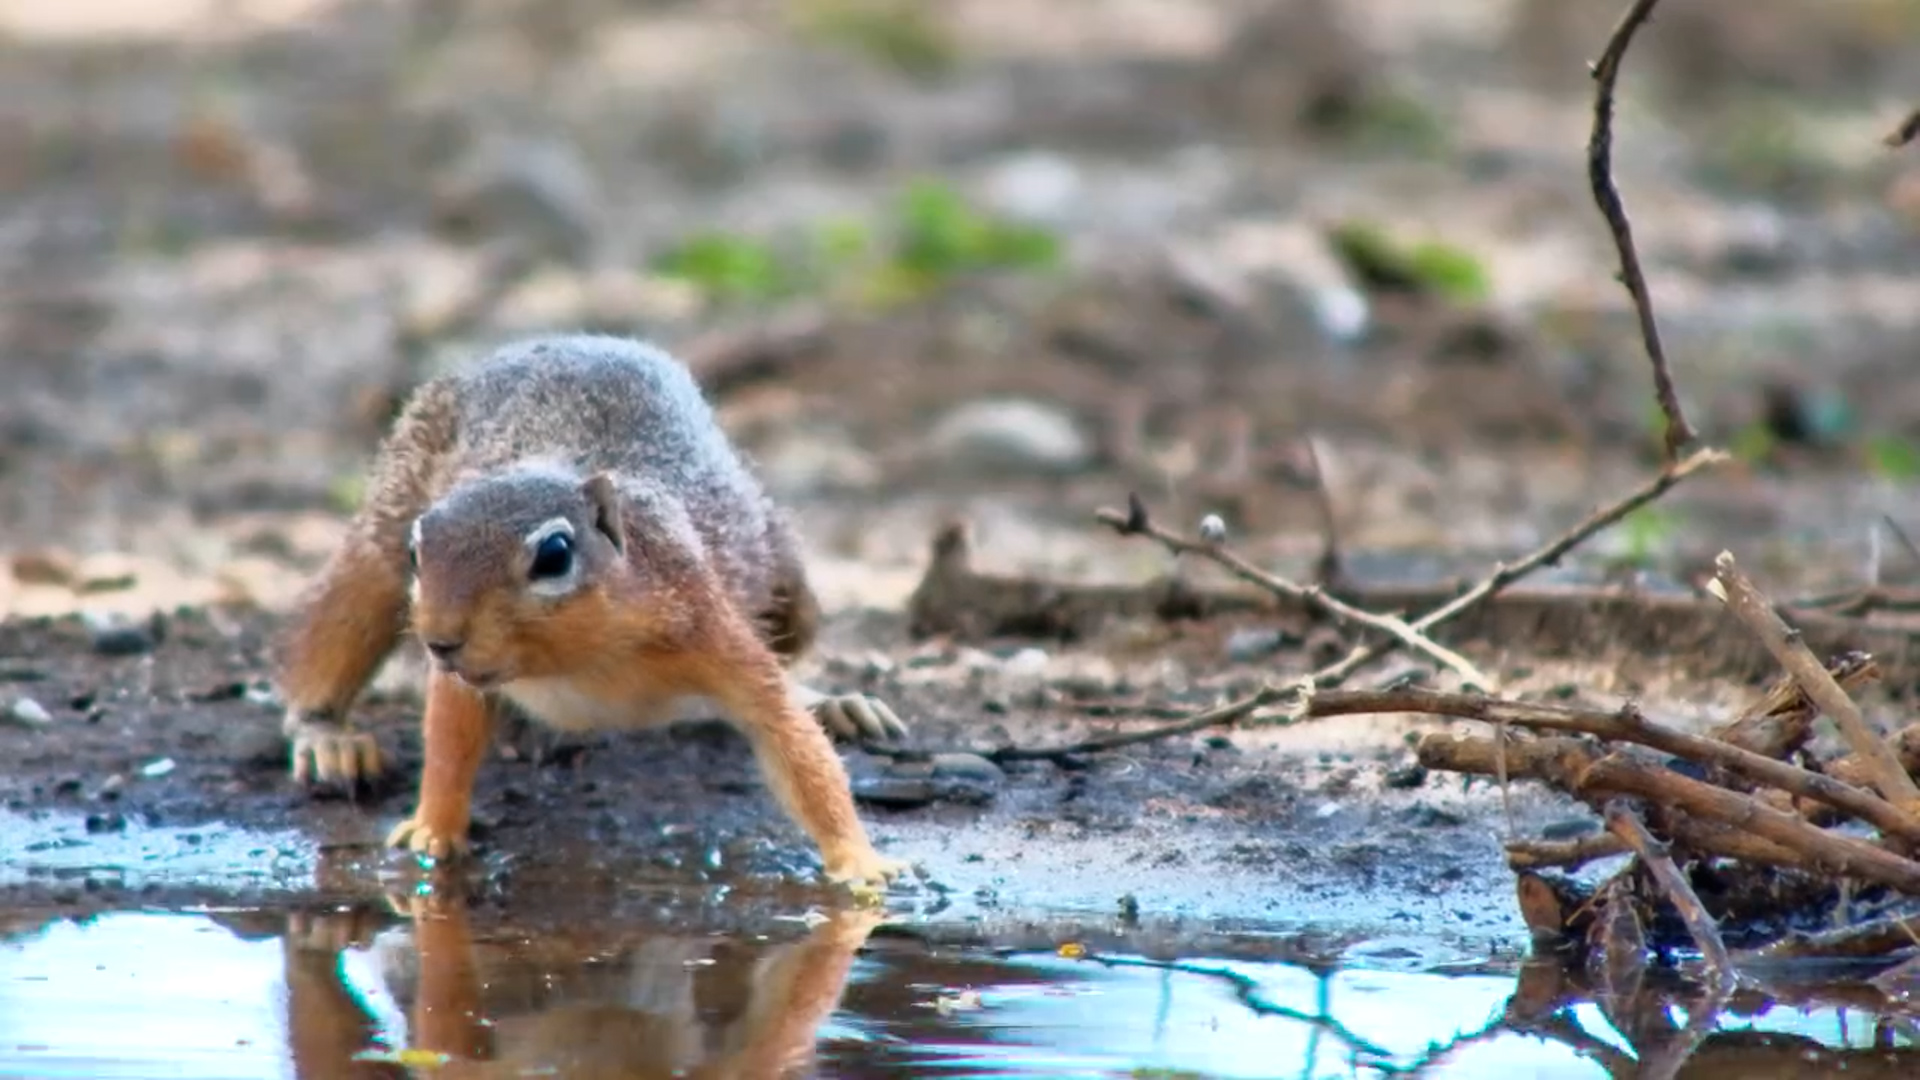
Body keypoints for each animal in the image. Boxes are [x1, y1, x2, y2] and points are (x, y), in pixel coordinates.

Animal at [273, 333, 908, 887]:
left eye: (554, 554)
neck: (578, 658)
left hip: (786, 584)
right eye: (417, 552)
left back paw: (836, 703)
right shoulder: (461, 674)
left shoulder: (705, 622)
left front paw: (858, 861)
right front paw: (432, 831)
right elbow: (450, 740)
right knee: (336, 628)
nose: (440, 640)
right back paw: (329, 739)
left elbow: (789, 737)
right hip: (382, 527)